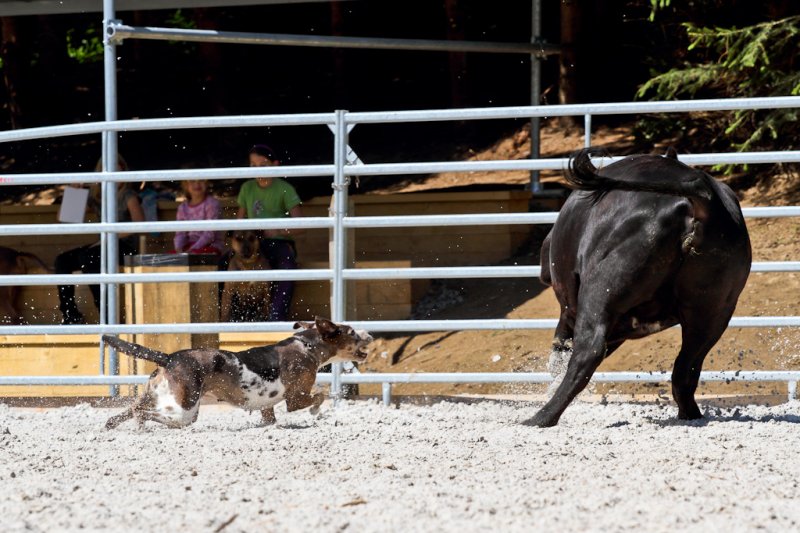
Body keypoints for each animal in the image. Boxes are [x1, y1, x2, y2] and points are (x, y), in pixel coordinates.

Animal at [102, 316, 372, 428]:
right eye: (351, 332)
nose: (369, 334)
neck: (306, 345)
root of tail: (169, 358)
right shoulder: (295, 398)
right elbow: (320, 394)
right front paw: (317, 411)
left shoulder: (267, 408)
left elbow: (269, 420)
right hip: (185, 410)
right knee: (144, 413)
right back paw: (140, 426)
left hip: (156, 396)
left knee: (127, 411)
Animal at [528, 150, 752, 428]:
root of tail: (703, 198)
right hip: (713, 311)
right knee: (685, 369)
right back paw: (690, 414)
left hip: (601, 291)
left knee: (588, 352)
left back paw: (541, 417)